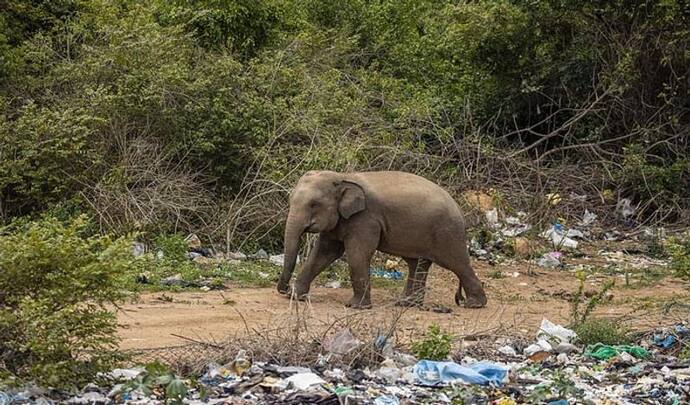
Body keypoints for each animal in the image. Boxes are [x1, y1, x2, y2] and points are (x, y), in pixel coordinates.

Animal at [272, 169, 486, 308]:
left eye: (314, 204)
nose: (284, 289)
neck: (344, 177)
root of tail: (459, 209)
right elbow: (324, 253)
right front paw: (296, 297)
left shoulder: (366, 219)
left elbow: (357, 255)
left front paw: (355, 306)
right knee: (417, 264)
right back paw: (406, 304)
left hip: (447, 232)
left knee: (458, 263)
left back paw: (474, 304)